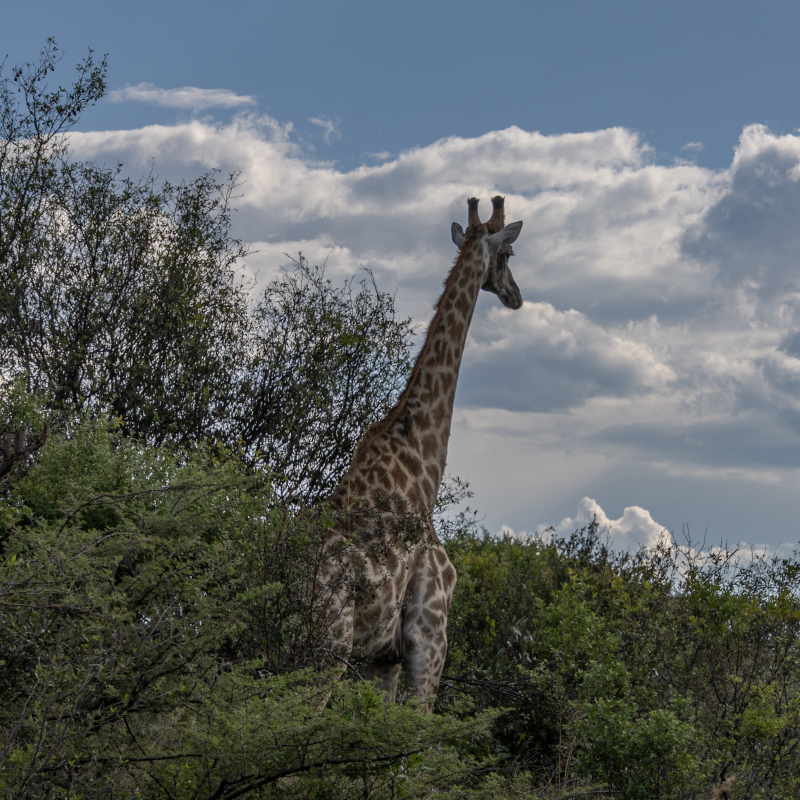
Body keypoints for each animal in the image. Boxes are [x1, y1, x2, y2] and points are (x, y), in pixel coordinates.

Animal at [320, 196, 524, 712]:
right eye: (509, 254)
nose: (516, 296)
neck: (423, 466)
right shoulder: (430, 638)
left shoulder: (382, 660)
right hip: (325, 649)